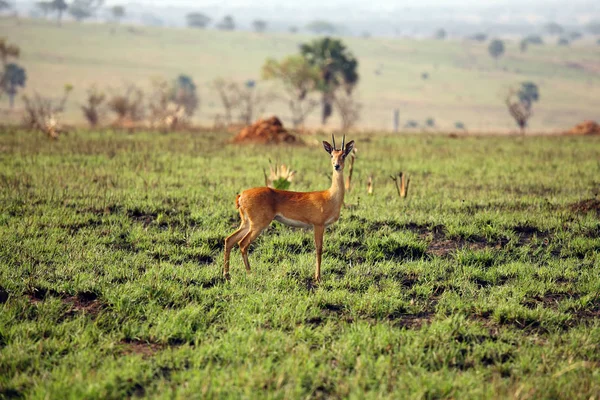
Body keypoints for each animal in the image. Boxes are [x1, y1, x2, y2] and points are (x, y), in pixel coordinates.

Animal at [225, 134, 356, 282]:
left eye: (344, 155)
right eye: (331, 155)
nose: (336, 166)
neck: (330, 196)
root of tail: (241, 195)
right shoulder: (318, 225)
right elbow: (319, 249)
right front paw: (318, 277)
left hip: (246, 223)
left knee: (229, 240)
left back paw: (227, 275)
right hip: (258, 225)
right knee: (242, 244)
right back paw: (250, 273)